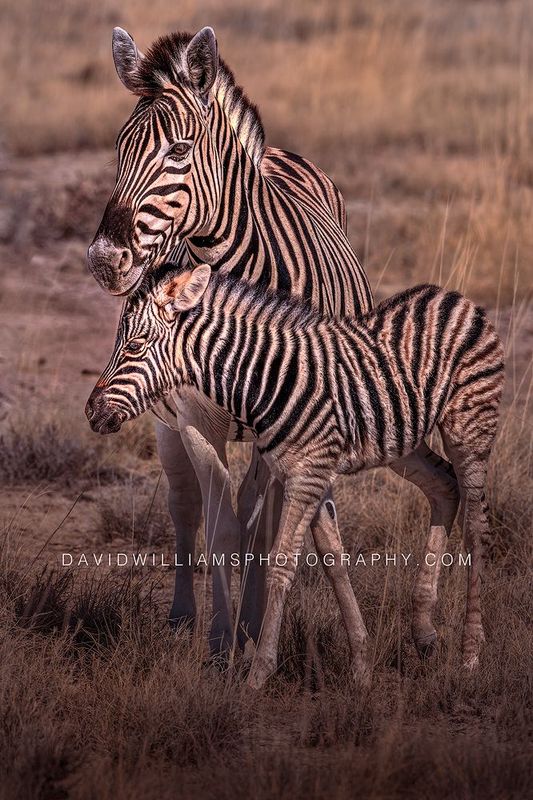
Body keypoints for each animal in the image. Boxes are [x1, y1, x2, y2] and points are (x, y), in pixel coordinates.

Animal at [86, 25, 460, 658]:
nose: (105, 260)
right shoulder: (193, 416)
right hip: (164, 419)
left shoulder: (291, 414)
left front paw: (252, 627)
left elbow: (263, 523)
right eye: (119, 148)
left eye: (178, 151)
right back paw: (186, 615)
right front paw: (220, 639)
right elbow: (218, 524)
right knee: (186, 506)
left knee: (259, 510)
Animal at [86, 264, 504, 688]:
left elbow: (282, 566)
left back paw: (470, 655)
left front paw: (258, 674)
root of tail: (455, 297)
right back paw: (423, 631)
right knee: (445, 486)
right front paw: (361, 666)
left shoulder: (306, 476)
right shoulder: (306, 474)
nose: (91, 412)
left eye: (135, 346)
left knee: (476, 527)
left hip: (469, 429)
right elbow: (334, 561)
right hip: (404, 440)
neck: (266, 378)